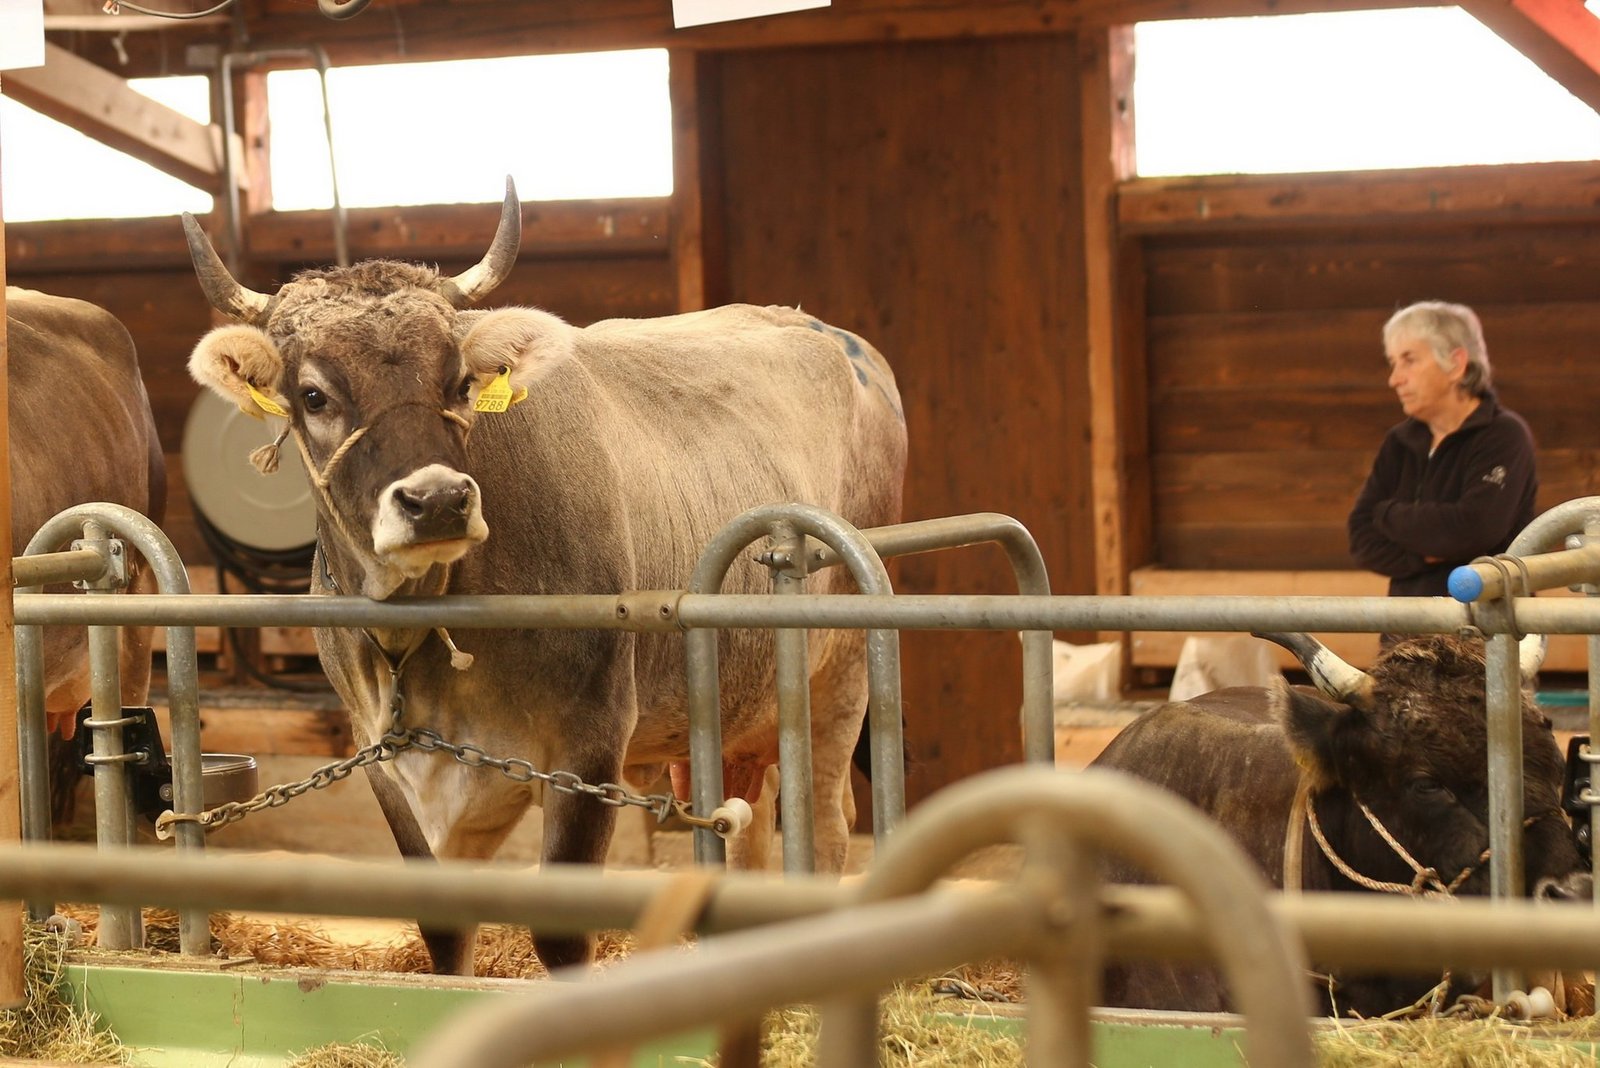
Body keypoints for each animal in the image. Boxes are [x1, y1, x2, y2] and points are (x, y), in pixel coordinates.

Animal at [180, 182, 908, 975]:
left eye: (460, 381)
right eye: (313, 395)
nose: (438, 499)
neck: (425, 633)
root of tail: (831, 333)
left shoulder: (589, 741)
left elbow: (561, 931)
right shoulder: (384, 756)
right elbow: (442, 928)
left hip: (841, 674)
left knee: (829, 819)